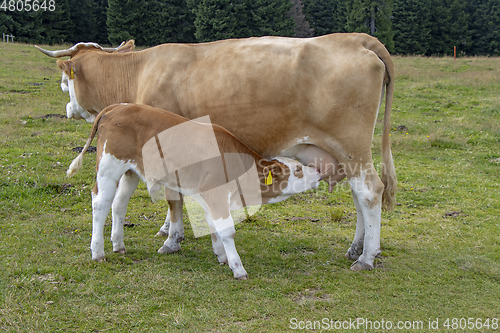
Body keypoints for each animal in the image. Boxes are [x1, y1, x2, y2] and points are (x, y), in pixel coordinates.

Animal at [66, 103, 320, 278]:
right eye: (298, 169)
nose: (317, 171)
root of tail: (119, 106)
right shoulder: (216, 195)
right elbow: (227, 230)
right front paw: (237, 268)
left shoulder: (210, 198)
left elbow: (214, 227)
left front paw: (221, 255)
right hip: (109, 166)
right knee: (100, 203)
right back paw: (98, 252)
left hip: (130, 171)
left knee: (119, 203)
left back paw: (118, 245)